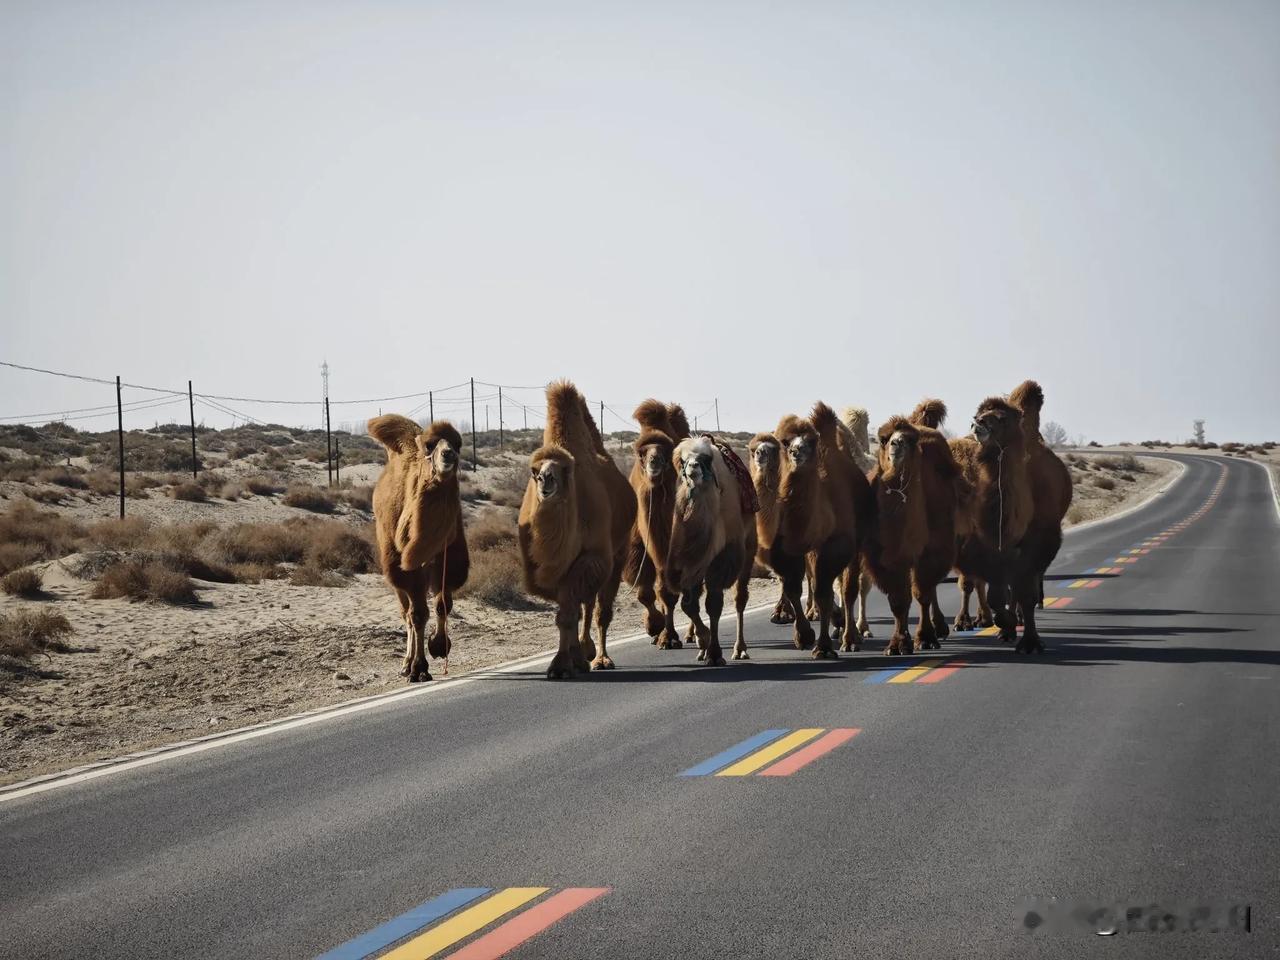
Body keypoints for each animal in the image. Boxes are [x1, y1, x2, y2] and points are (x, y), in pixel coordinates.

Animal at [371, 414, 471, 686]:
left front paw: (439, 645)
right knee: (407, 613)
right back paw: (406, 665)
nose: (448, 455)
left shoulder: (446, 556)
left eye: (458, 444)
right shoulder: (408, 564)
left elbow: (443, 603)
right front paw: (419, 668)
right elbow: (418, 614)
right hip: (394, 566)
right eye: (430, 445)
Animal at [517, 378, 637, 680]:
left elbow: (571, 612)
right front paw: (569, 661)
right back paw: (584, 654)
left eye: (564, 469)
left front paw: (564, 664)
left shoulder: (593, 556)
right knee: (587, 604)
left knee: (601, 609)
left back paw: (600, 658)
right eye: (534, 470)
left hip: (617, 555)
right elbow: (566, 613)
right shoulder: (544, 569)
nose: (546, 479)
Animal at [622, 394, 686, 650]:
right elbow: (645, 592)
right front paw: (653, 627)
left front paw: (668, 636)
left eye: (667, 449)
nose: (654, 462)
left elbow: (667, 591)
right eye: (642, 453)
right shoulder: (638, 547)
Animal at [665, 437, 752, 670]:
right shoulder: (690, 563)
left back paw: (739, 650)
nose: (693, 467)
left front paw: (714, 652)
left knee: (740, 599)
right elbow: (688, 605)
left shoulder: (721, 560)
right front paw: (702, 642)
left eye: (705, 459)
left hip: (747, 552)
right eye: (683, 460)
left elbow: (713, 605)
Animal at [768, 401, 870, 660]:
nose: (797, 451)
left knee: (848, 588)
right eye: (785, 442)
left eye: (811, 441)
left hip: (855, 543)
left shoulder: (835, 545)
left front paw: (823, 646)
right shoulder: (789, 547)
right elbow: (794, 587)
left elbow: (825, 592)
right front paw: (803, 636)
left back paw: (850, 637)